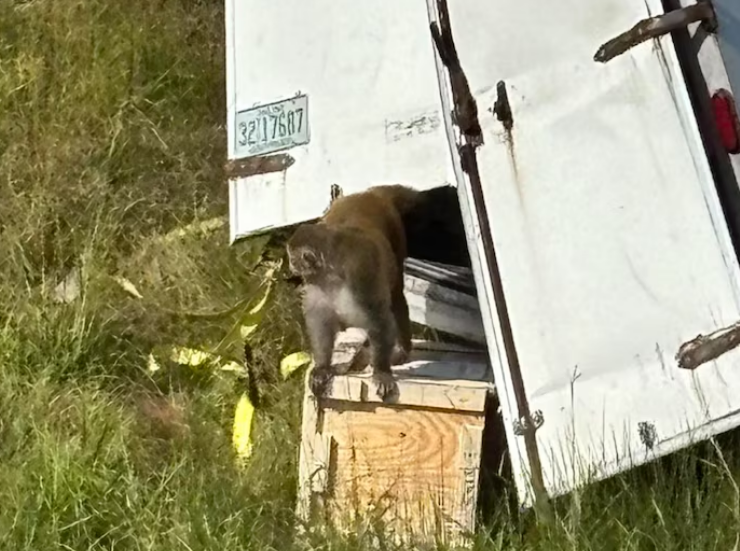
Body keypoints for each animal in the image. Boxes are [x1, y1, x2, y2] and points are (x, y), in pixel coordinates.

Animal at [286, 184, 423, 403]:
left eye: (292, 258)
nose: (290, 266)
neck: (331, 275)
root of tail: (368, 194)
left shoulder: (360, 275)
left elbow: (379, 319)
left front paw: (381, 372)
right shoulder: (316, 286)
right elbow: (321, 322)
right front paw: (322, 367)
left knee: (396, 296)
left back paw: (402, 349)